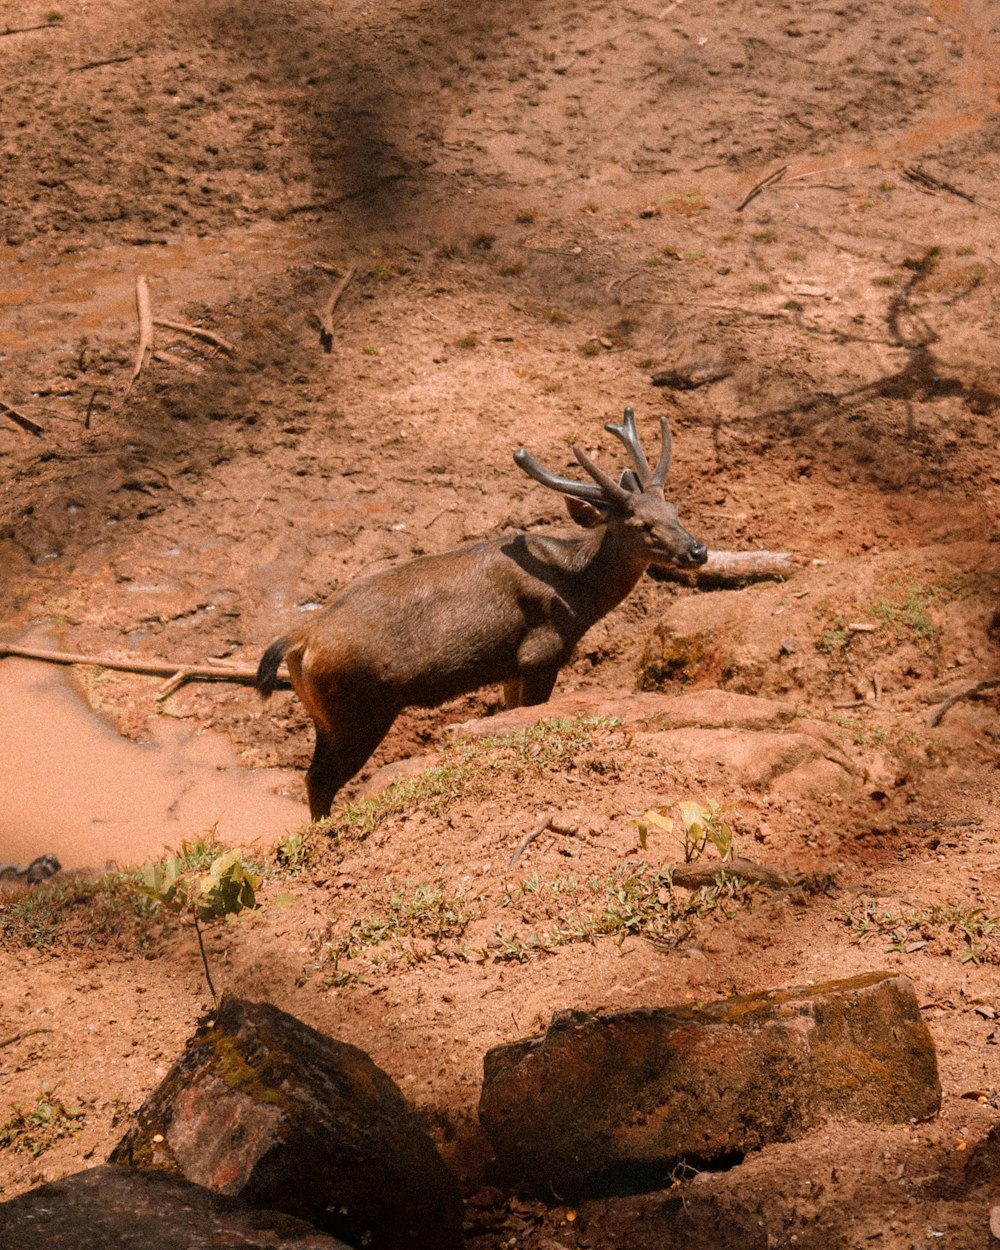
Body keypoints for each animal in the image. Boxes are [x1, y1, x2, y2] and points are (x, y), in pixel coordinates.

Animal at [257, 407, 710, 820]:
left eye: (674, 511)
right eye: (641, 524)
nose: (698, 550)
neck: (578, 595)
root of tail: (301, 639)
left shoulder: (510, 667)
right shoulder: (540, 652)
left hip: (326, 716)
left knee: (313, 776)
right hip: (359, 709)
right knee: (320, 780)